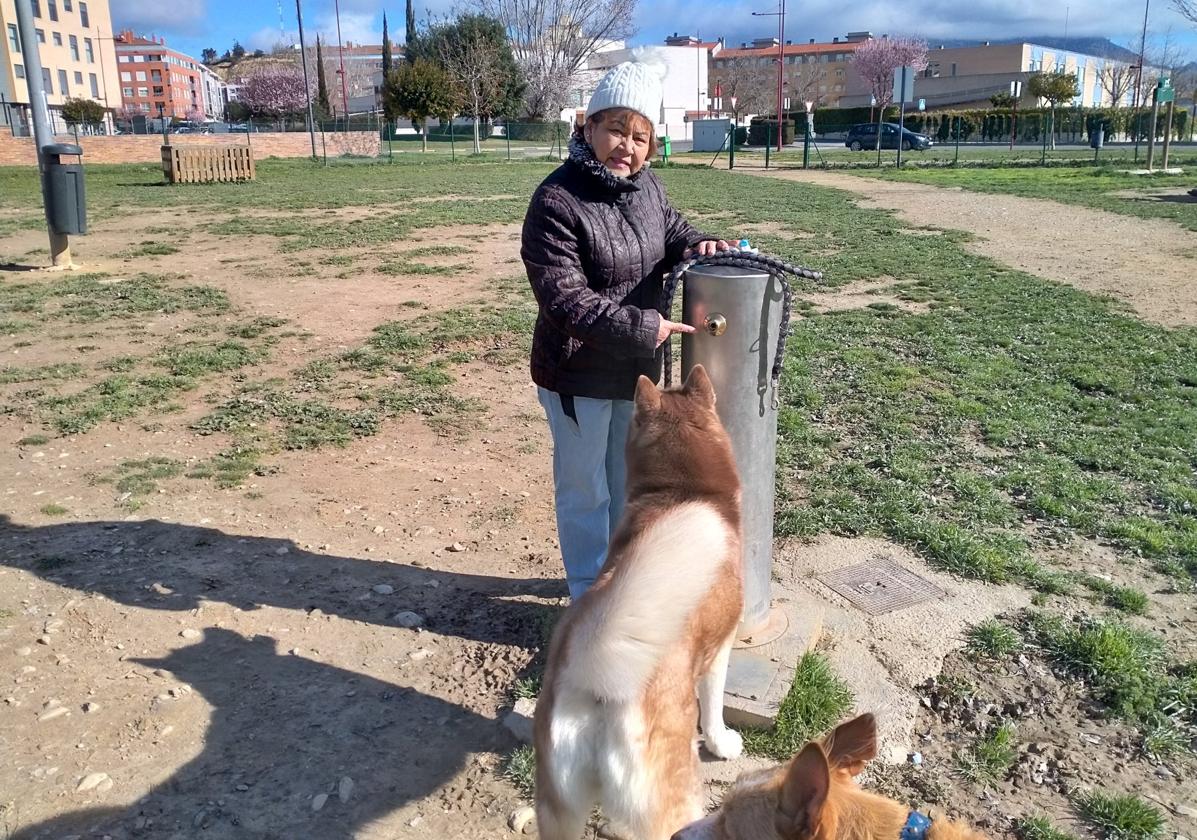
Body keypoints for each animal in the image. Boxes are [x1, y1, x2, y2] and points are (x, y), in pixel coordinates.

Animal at [536, 366, 742, 840]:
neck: (682, 492)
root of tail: (595, 672)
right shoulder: (720, 647)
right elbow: (715, 707)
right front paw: (723, 743)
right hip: (672, 807)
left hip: (558, 812)